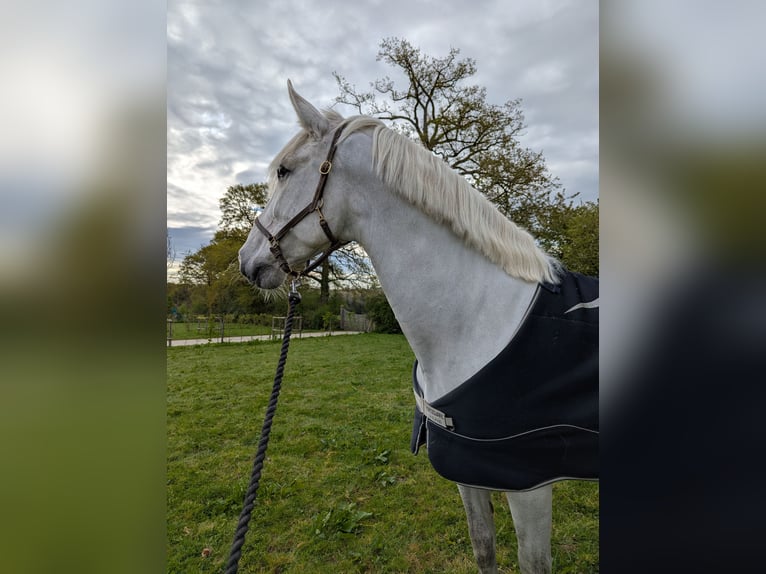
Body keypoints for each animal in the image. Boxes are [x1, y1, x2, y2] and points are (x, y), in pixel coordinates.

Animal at [238, 80, 598, 574]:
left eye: (285, 171)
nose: (246, 261)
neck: (477, 321)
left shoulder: (530, 485)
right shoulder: (470, 470)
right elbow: (484, 547)